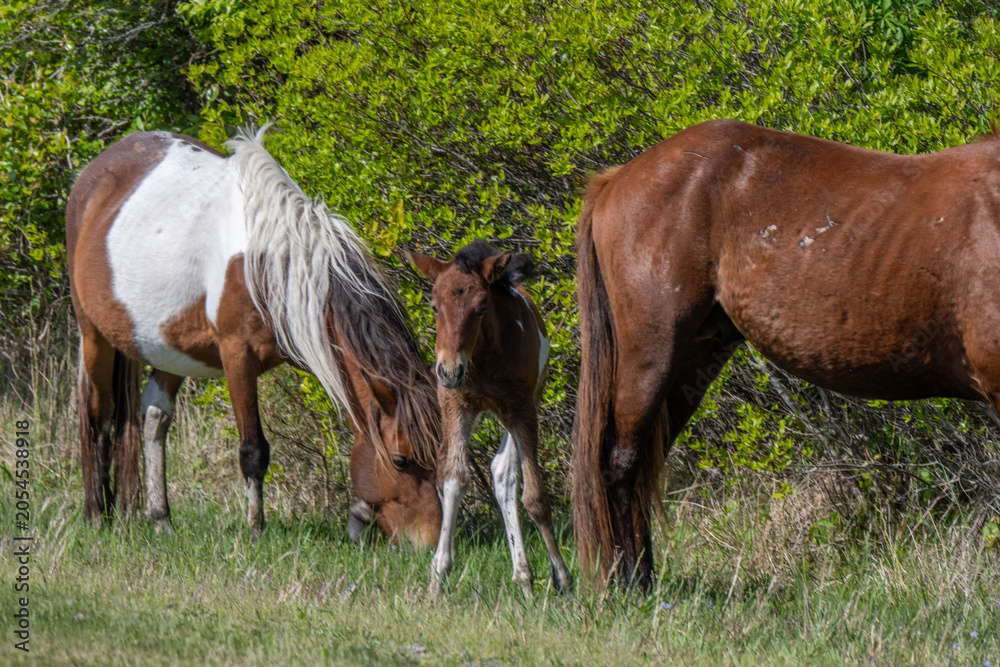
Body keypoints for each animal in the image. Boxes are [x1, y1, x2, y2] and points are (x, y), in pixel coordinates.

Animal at [65, 127, 442, 546]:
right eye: (400, 460)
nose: (428, 540)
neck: (280, 264)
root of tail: (92, 174)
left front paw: (358, 515)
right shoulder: (238, 358)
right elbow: (253, 451)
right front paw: (255, 529)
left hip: (172, 349)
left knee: (153, 417)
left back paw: (160, 516)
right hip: (95, 337)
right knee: (97, 415)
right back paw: (97, 515)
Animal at [408, 241, 572, 592]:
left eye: (482, 308)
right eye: (434, 306)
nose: (449, 370)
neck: (481, 359)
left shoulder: (522, 409)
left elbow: (536, 496)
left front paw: (562, 576)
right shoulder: (456, 405)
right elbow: (453, 477)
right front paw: (438, 573)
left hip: (521, 407)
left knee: (504, 473)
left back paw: (524, 575)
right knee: (485, 470)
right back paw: (521, 574)